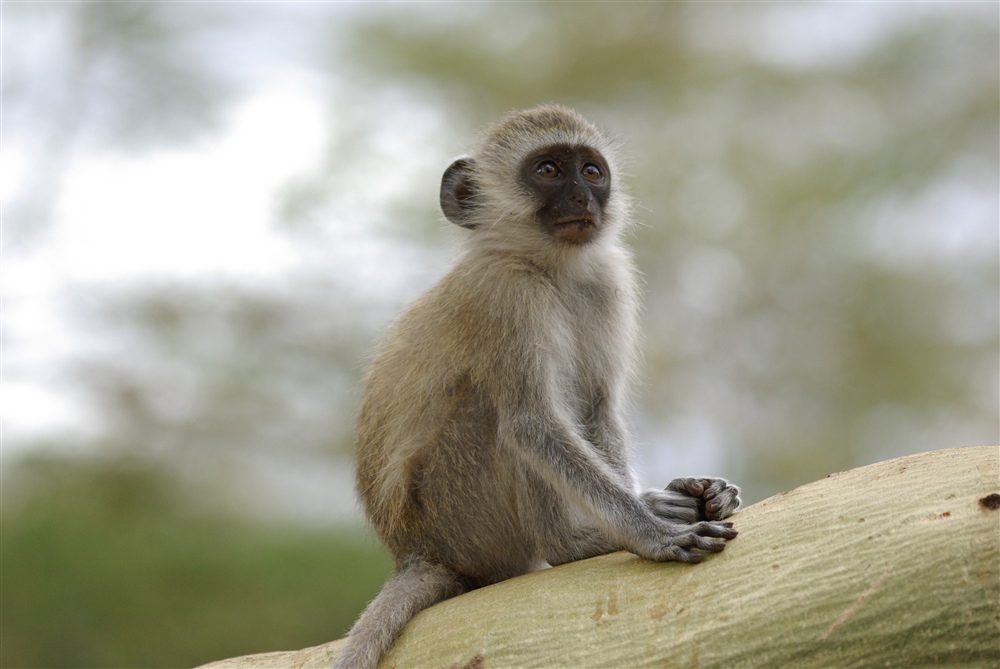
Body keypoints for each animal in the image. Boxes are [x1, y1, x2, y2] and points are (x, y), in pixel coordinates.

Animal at [332, 104, 740, 668]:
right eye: (548, 170)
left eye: (591, 171)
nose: (583, 199)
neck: (550, 269)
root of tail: (416, 552)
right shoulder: (507, 296)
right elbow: (532, 424)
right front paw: (651, 532)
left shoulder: (608, 282)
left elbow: (597, 410)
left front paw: (669, 500)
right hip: (461, 517)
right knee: (501, 416)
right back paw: (572, 542)